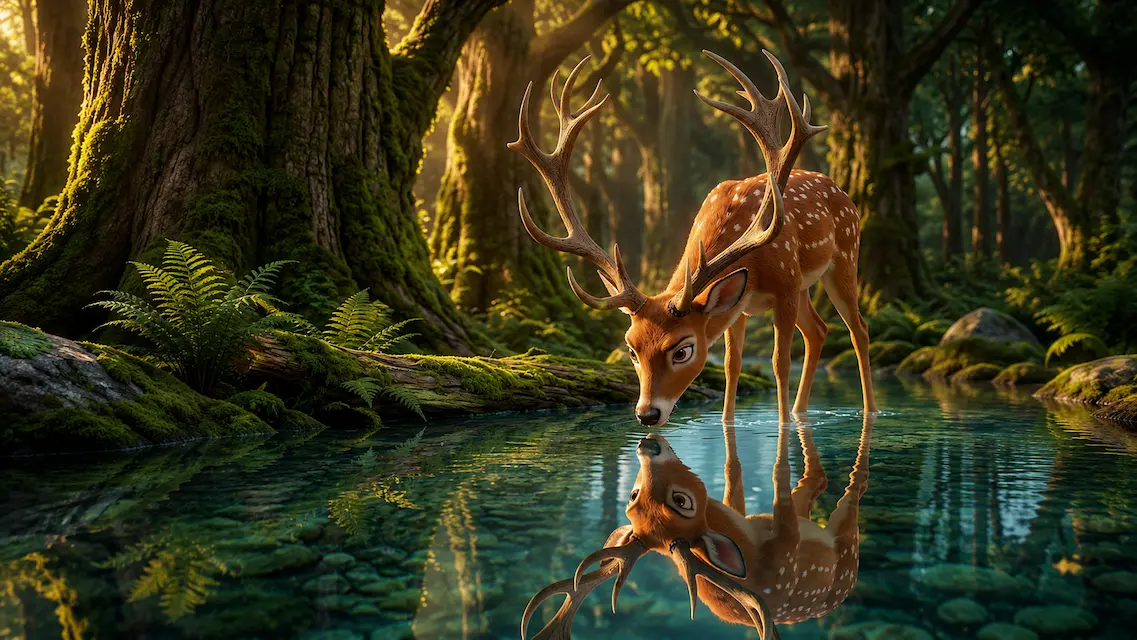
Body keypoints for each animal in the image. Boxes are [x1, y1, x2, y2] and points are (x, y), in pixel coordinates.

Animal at [508, 50, 877, 427]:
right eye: (631, 349)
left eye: (683, 350)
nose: (647, 414)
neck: (754, 262)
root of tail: (842, 192)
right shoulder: (740, 306)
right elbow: (731, 365)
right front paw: (729, 422)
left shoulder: (785, 284)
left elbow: (780, 362)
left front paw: (783, 423)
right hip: (806, 286)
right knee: (818, 330)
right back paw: (803, 411)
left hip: (844, 257)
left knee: (858, 329)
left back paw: (868, 411)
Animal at [520, 415, 874, 639]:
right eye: (683, 500)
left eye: (631, 497)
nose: (647, 445)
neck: (754, 547)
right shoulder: (787, 541)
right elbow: (779, 486)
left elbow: (734, 470)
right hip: (846, 549)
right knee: (836, 490)